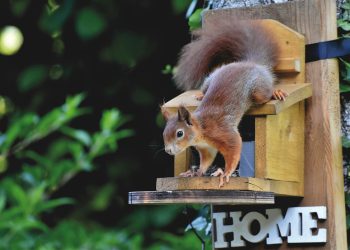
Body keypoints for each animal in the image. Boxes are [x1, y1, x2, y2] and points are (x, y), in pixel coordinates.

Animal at [161, 18, 288, 188]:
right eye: (164, 134)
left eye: (179, 133)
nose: (168, 150)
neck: (201, 131)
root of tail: (249, 63)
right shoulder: (206, 148)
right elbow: (206, 161)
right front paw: (196, 173)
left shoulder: (222, 132)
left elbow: (234, 148)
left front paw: (226, 173)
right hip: (210, 78)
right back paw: (200, 95)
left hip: (258, 90)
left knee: (265, 93)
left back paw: (276, 92)